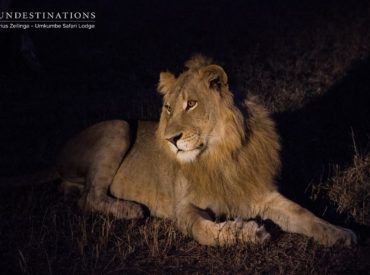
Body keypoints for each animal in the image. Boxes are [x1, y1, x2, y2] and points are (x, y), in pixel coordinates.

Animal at [57, 55, 356, 247]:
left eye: (191, 104)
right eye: (168, 108)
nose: (170, 139)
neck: (220, 153)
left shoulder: (259, 193)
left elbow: (303, 214)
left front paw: (341, 234)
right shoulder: (183, 207)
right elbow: (205, 231)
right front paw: (248, 233)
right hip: (118, 126)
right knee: (88, 198)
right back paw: (130, 209)